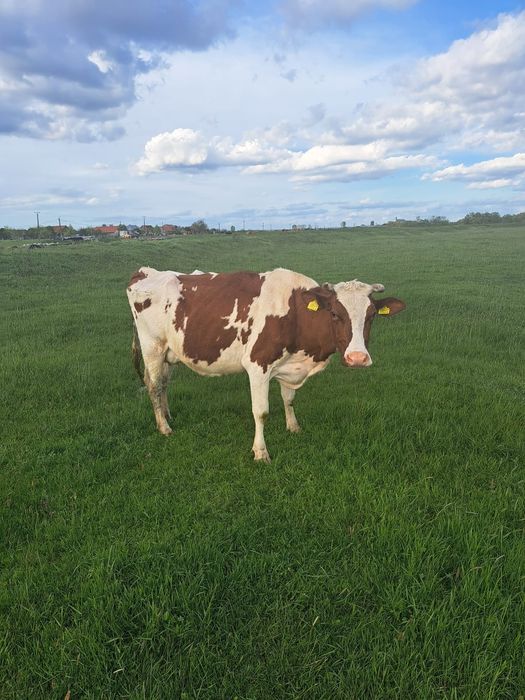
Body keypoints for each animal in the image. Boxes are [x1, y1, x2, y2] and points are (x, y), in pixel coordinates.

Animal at [127, 267, 405, 462]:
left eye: (371, 315)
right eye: (335, 314)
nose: (357, 358)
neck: (297, 314)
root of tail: (147, 272)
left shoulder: (290, 366)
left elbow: (289, 399)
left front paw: (293, 427)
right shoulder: (257, 364)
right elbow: (260, 412)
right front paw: (260, 452)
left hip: (169, 353)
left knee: (163, 383)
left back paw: (167, 414)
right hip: (152, 347)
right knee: (153, 386)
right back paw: (164, 427)